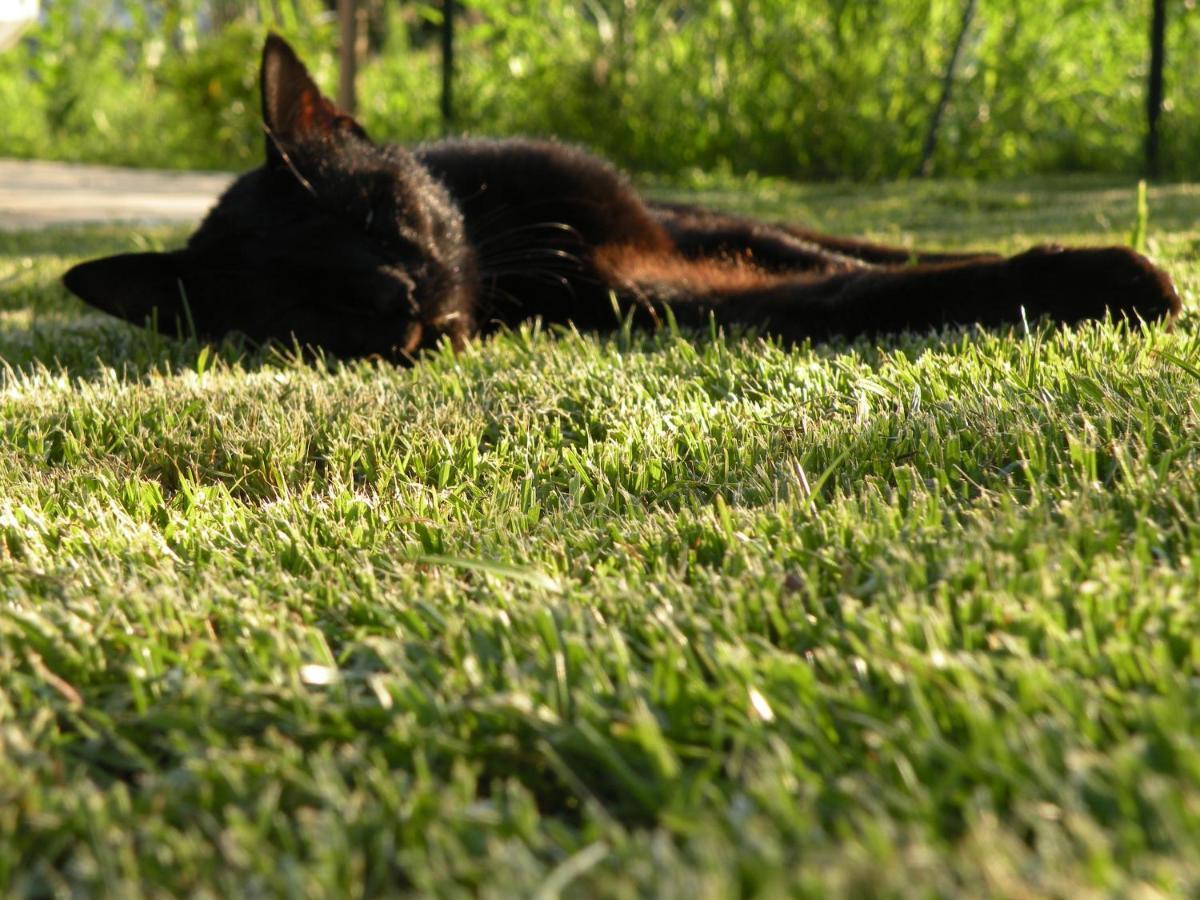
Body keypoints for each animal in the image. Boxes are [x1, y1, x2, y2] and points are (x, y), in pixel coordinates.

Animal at [60, 35, 1176, 360]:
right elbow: (849, 290)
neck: (499, 226)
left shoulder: (678, 221)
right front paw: (1109, 274)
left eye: (372, 216)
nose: (393, 294)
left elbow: (849, 248)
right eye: (304, 303)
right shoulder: (647, 286)